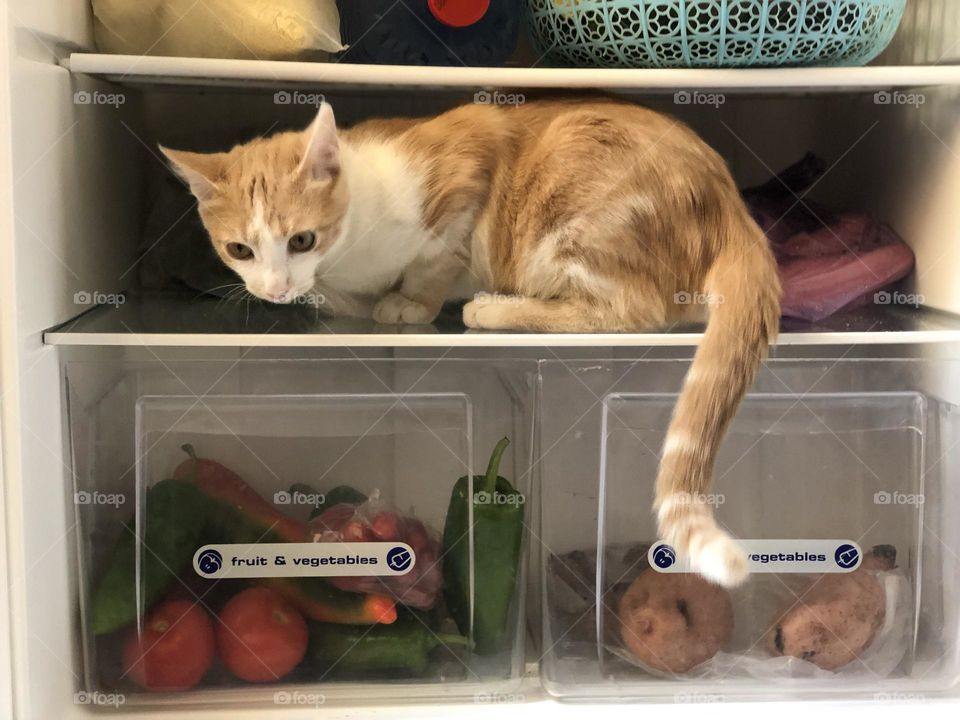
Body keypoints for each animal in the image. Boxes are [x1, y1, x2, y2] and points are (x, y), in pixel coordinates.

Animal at [163, 100, 780, 584]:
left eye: (301, 239)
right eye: (239, 250)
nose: (274, 288)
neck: (351, 253)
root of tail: (730, 204)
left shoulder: (464, 170)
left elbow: (434, 259)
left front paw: (411, 303)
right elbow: (341, 300)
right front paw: (339, 301)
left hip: (573, 211)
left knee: (635, 310)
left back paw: (496, 307)